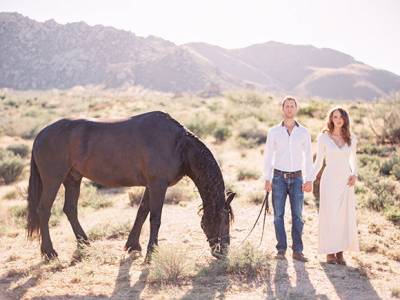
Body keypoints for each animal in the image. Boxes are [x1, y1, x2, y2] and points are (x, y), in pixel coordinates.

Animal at [26, 110, 234, 260]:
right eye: (224, 220)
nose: (222, 251)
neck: (178, 145)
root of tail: (40, 135)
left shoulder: (152, 185)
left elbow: (142, 212)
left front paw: (133, 245)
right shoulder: (158, 185)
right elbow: (155, 218)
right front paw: (151, 252)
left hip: (72, 179)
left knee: (70, 209)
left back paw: (84, 243)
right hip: (53, 179)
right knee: (44, 210)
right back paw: (49, 252)